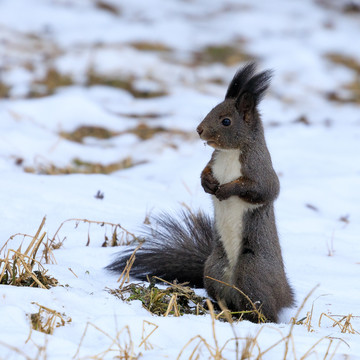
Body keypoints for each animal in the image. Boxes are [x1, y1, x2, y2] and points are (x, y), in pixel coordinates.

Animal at [106, 62, 292, 324]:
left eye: (226, 121)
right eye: (212, 109)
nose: (199, 130)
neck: (229, 153)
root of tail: (286, 294)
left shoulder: (261, 170)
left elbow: (262, 190)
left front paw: (226, 189)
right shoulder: (213, 161)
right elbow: (205, 171)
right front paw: (208, 183)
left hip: (252, 272)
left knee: (264, 310)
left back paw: (255, 317)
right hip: (213, 269)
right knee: (226, 299)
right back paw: (212, 305)